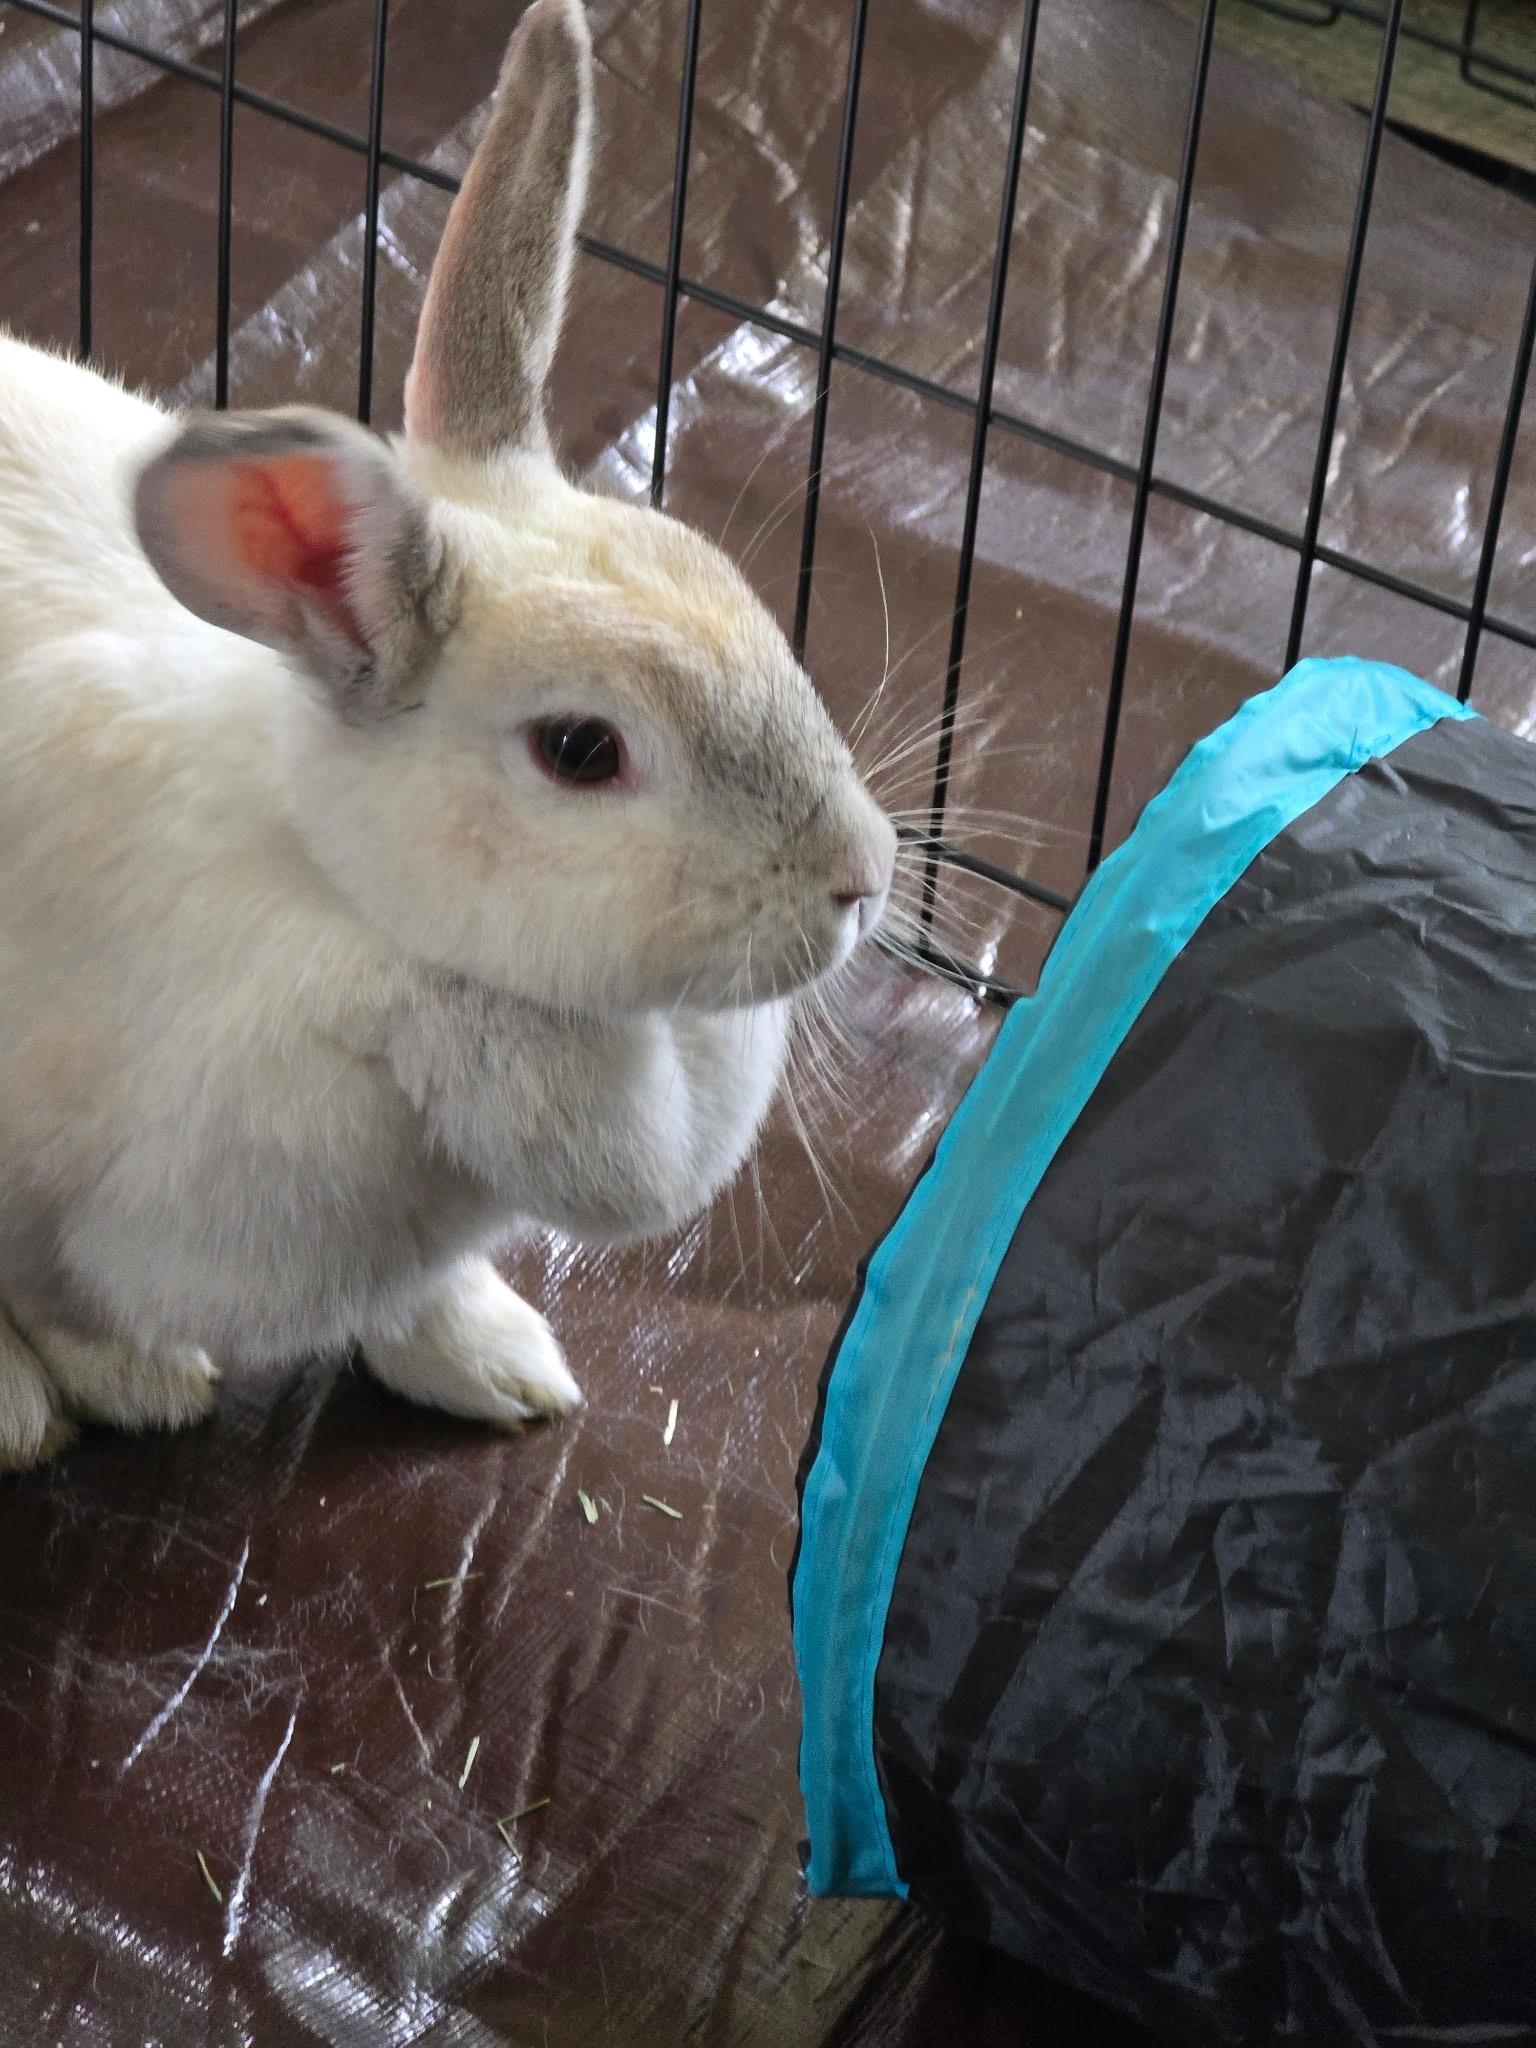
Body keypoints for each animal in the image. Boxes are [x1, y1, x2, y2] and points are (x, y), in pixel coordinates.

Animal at [0, 0, 895, 1473]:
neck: (354, 910)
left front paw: (497, 1365)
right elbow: (48, 1291)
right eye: (583, 751)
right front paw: (111, 1382)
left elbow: (419, 1297)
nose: (861, 880)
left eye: (735, 590)